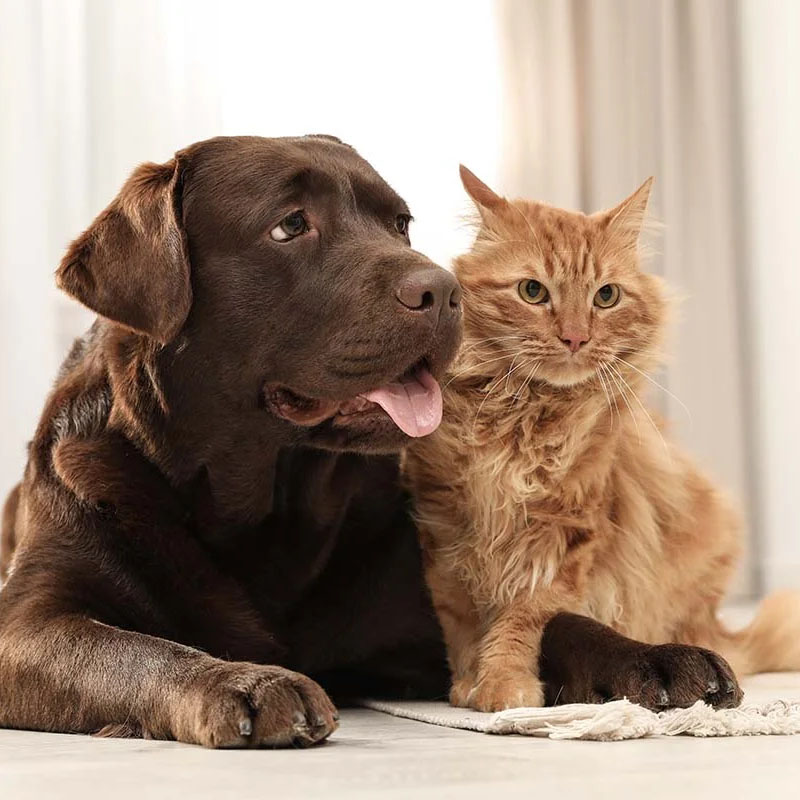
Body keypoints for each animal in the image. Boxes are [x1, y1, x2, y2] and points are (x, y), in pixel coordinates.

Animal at [406, 169, 800, 712]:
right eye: (533, 291)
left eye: (606, 297)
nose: (576, 338)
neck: (525, 419)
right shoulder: (446, 527)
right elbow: (461, 620)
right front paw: (469, 684)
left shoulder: (565, 536)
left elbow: (522, 619)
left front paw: (505, 684)